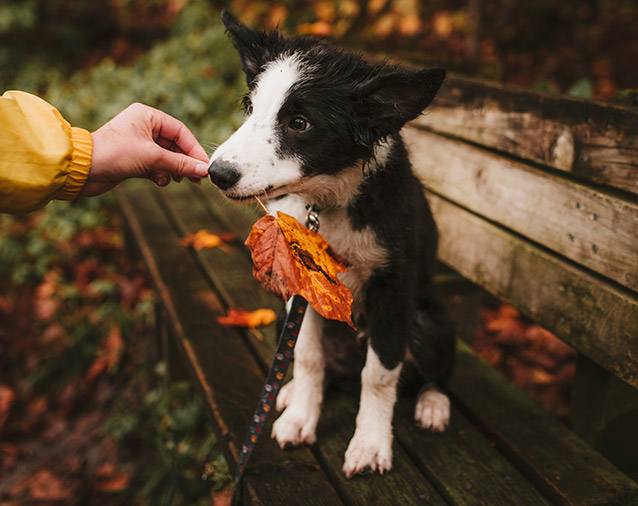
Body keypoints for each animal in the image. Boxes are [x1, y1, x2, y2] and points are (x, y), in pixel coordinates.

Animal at [209, 11, 456, 478]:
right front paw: (300, 418)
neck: (328, 204)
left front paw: (371, 445)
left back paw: (433, 404)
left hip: (429, 322)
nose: (217, 173)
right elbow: (306, 355)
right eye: (250, 108)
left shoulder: (393, 287)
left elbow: (380, 373)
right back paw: (289, 393)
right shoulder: (302, 286)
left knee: (435, 372)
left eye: (299, 123)